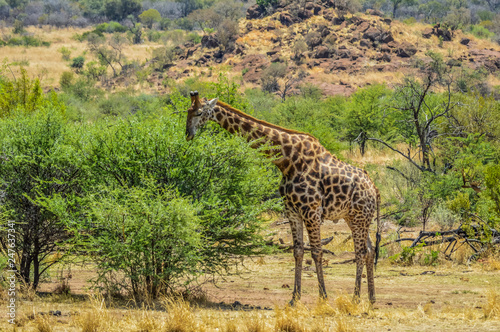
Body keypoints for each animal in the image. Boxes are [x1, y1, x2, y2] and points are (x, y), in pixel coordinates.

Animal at [186, 90, 380, 304]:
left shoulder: (311, 211)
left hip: (360, 217)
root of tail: (375, 189)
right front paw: (294, 298)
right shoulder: (292, 211)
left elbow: (316, 251)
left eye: (199, 112)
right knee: (370, 250)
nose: (188, 134)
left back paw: (356, 298)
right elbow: (298, 251)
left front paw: (323, 297)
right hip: (352, 217)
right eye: (188, 111)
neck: (287, 161)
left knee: (360, 252)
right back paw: (371, 299)